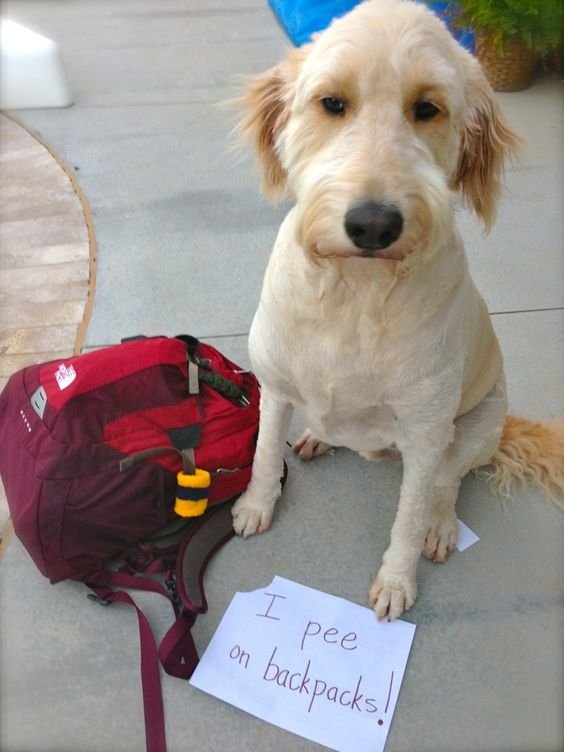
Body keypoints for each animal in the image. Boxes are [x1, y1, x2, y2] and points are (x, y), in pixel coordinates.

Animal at [230, 1, 564, 624]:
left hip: (476, 425)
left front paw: (396, 580)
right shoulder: (275, 388)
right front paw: (256, 506)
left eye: (427, 108)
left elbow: (407, 517)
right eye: (332, 103)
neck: (354, 292)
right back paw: (318, 436)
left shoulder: (428, 432)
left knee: (447, 485)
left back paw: (441, 525)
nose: (373, 225)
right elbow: (263, 457)